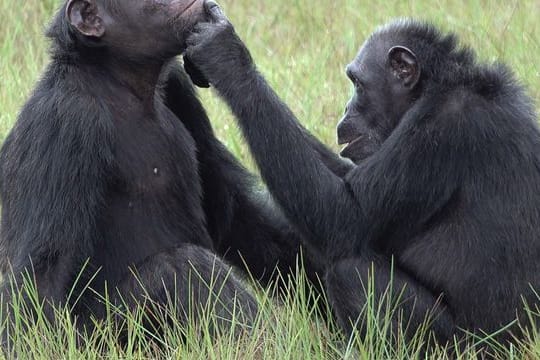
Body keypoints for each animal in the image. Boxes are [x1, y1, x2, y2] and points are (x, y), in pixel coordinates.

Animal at [0, 0, 322, 346]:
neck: (120, 80)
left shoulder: (180, 88)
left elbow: (234, 212)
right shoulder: (65, 123)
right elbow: (45, 270)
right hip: (103, 338)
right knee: (182, 268)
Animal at [186, 2, 540, 346]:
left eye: (357, 82)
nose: (346, 108)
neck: (434, 87)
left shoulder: (440, 130)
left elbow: (345, 215)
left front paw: (226, 56)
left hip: (464, 346)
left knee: (351, 273)